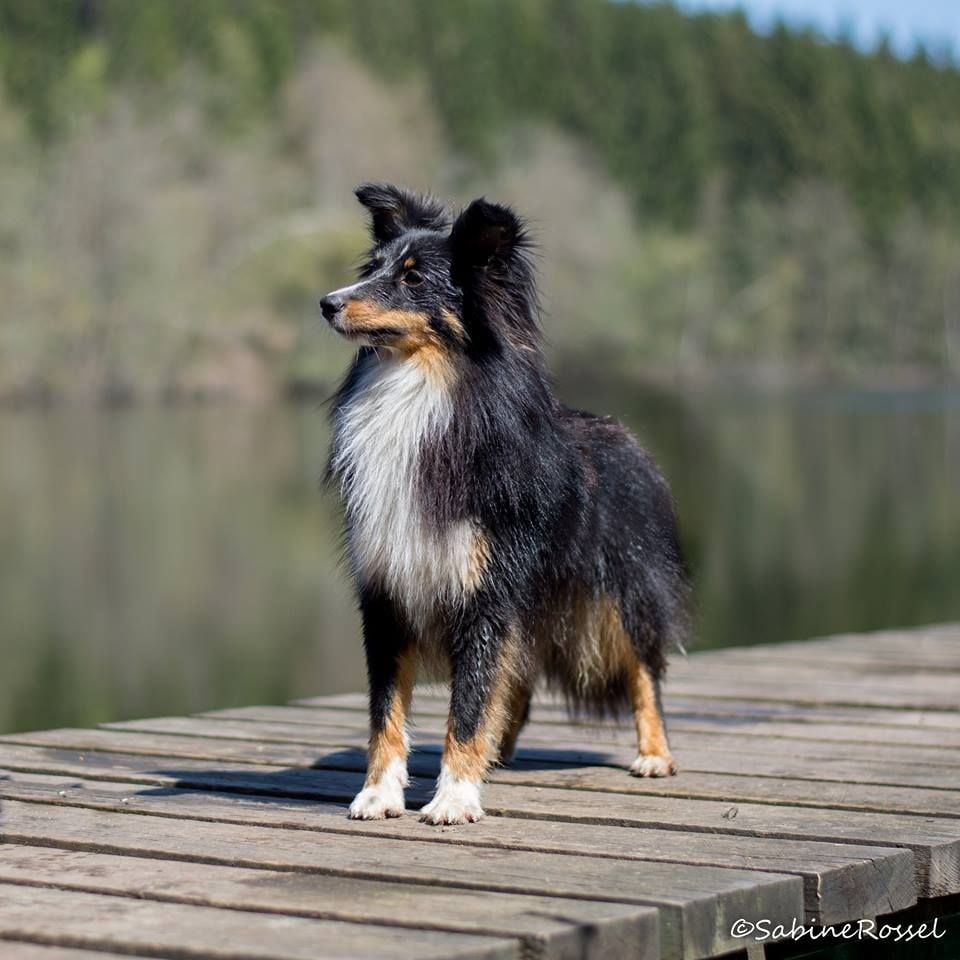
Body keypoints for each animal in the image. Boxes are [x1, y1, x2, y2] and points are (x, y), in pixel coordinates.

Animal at [322, 182, 688, 824]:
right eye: (372, 270)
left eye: (414, 280)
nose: (327, 302)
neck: (418, 391)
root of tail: (629, 438)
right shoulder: (388, 592)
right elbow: (386, 710)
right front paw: (379, 793)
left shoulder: (484, 589)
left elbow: (468, 702)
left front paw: (453, 798)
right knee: (515, 682)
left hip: (622, 591)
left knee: (645, 670)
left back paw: (653, 754)